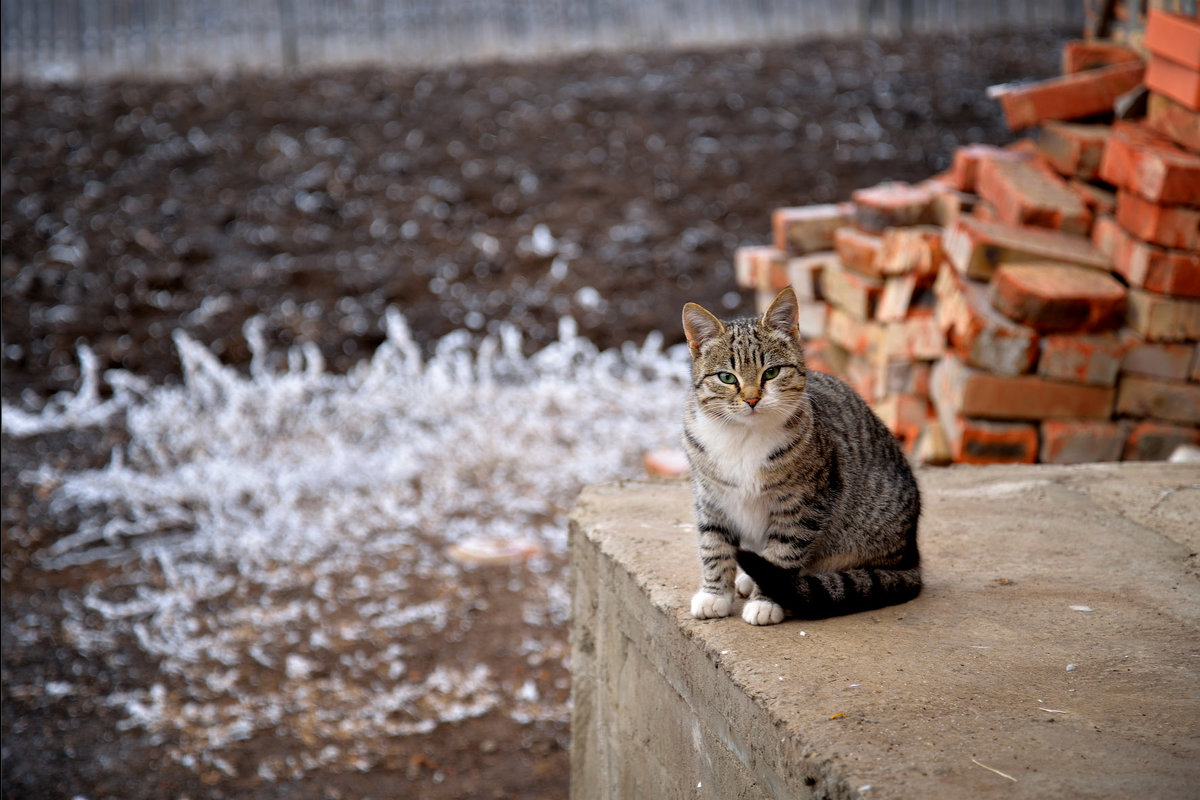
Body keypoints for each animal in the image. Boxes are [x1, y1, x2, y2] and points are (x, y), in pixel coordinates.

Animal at [681, 287, 921, 623]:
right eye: (727, 378)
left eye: (771, 372)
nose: (752, 399)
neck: (744, 437)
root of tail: (911, 555)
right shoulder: (711, 498)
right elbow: (714, 546)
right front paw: (714, 594)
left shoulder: (804, 502)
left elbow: (783, 553)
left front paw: (766, 601)